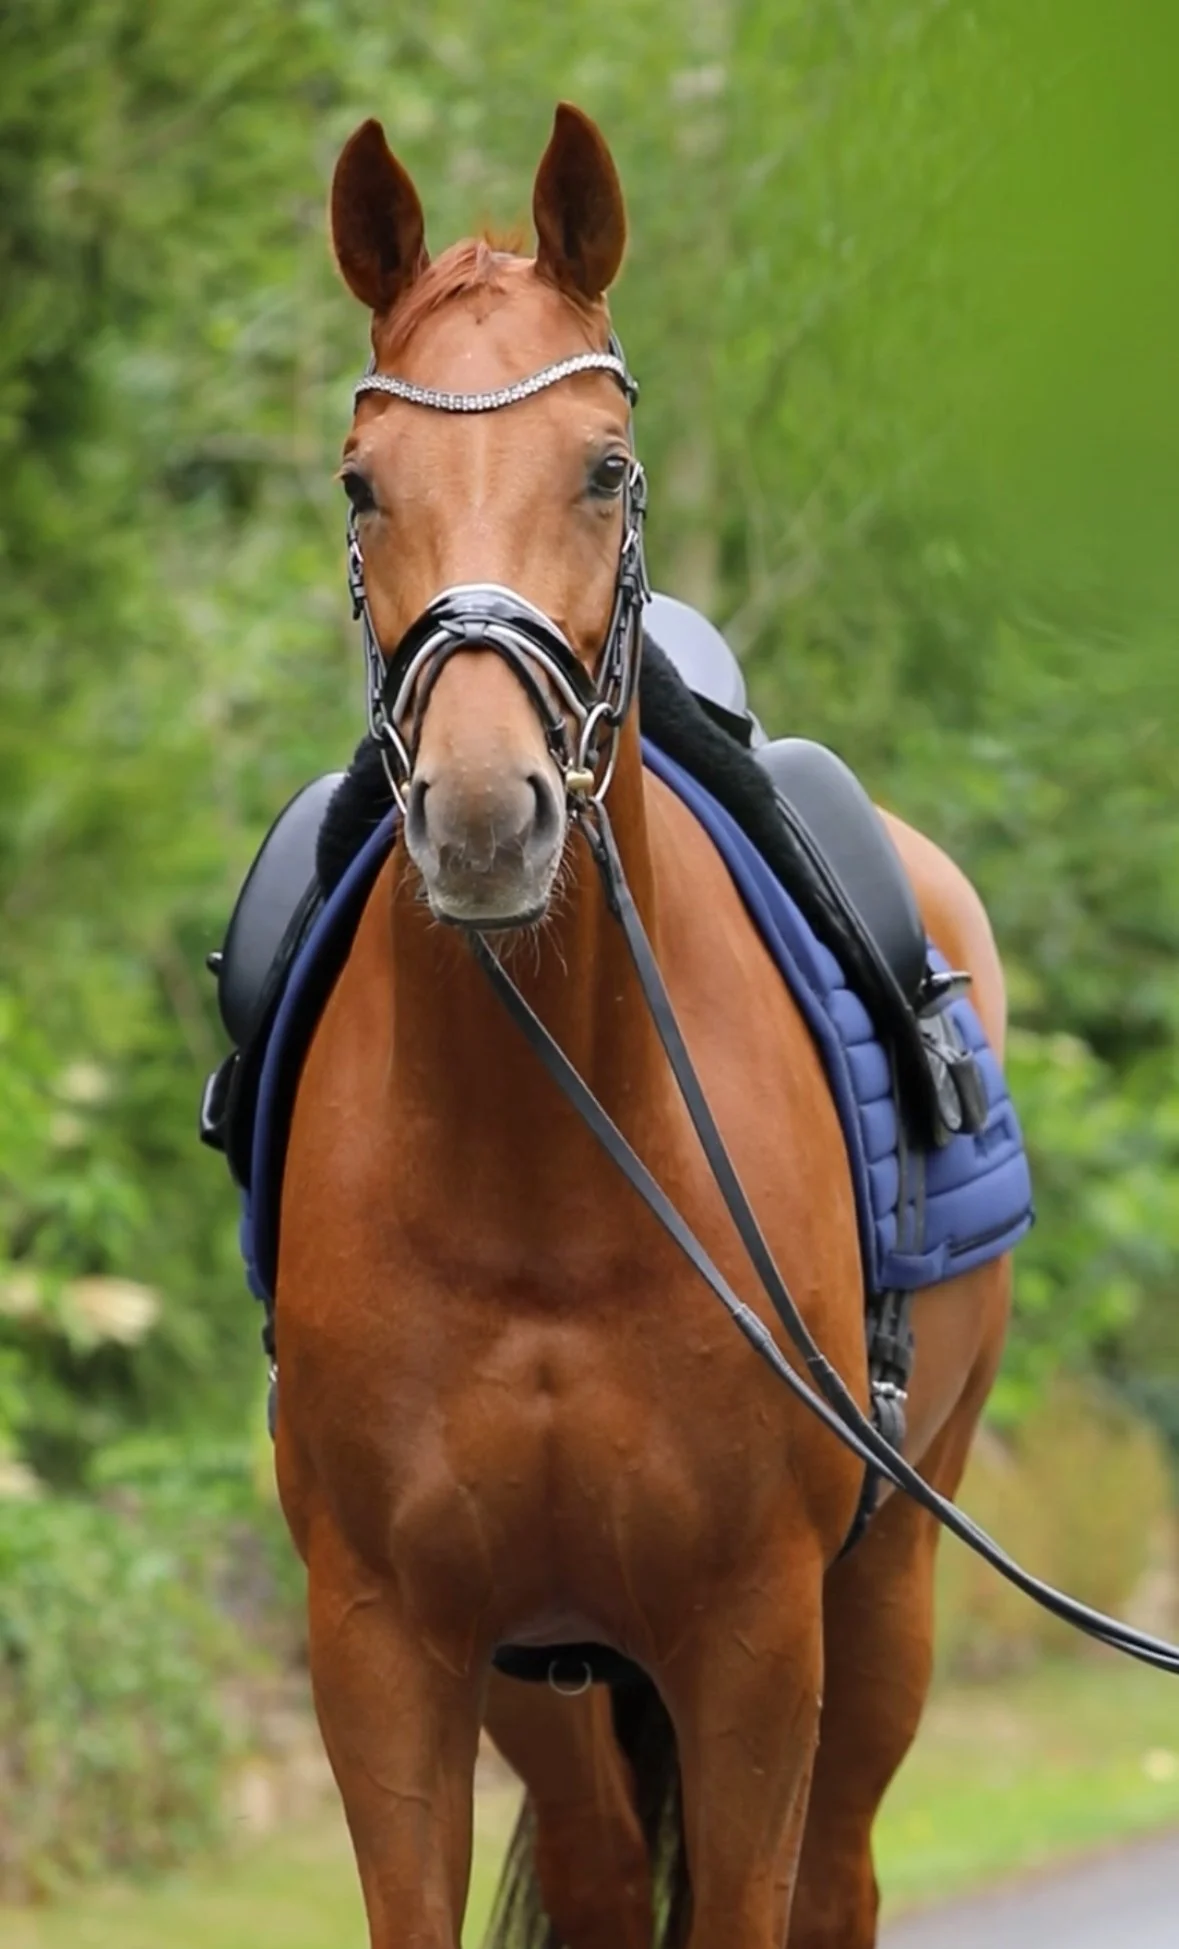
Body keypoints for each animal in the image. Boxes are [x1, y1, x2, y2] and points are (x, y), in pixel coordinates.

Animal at [272, 103, 1012, 1949]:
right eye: (360, 481)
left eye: (602, 466)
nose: (482, 817)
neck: (543, 1174)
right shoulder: (389, 1646)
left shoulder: (750, 1639)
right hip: (545, 1679)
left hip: (886, 1591)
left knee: (838, 1877)